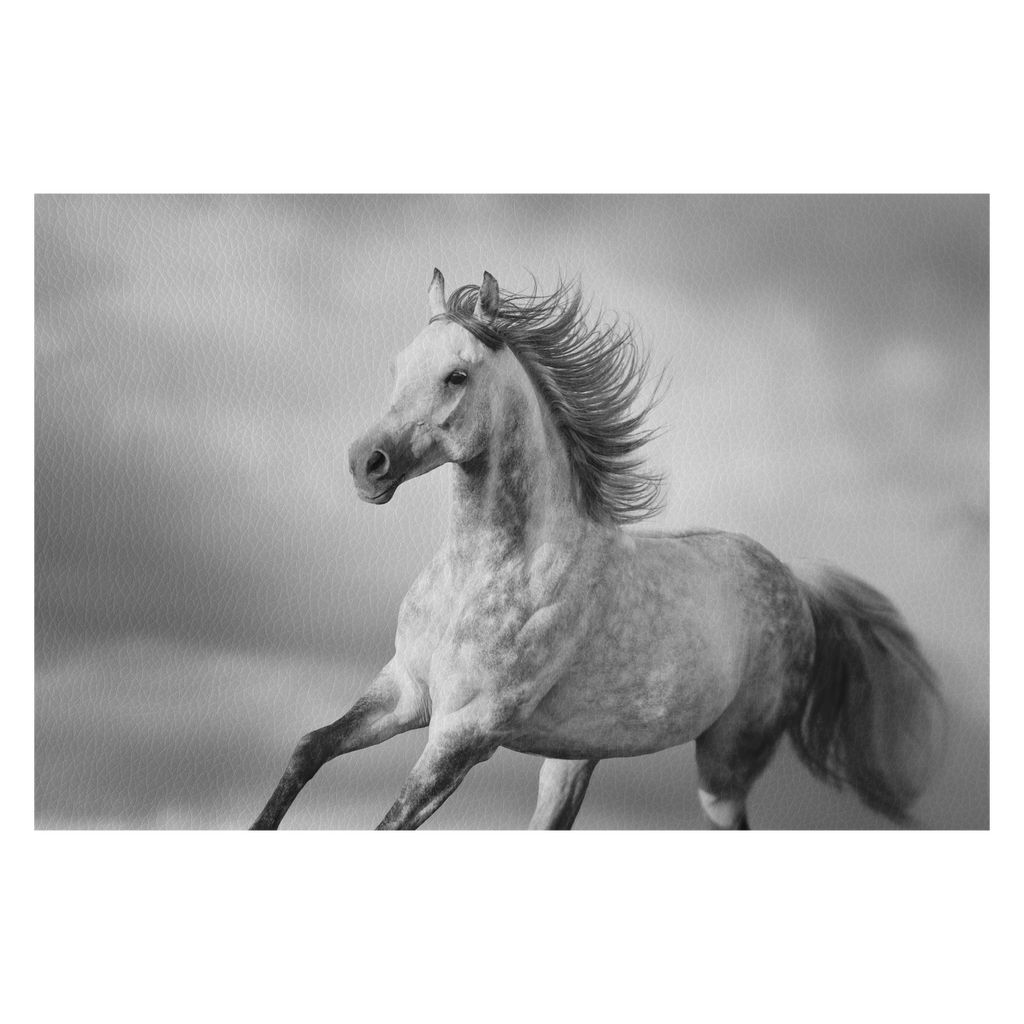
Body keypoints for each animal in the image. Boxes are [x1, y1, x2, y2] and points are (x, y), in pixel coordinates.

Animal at [249, 270, 942, 831]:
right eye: (396, 367)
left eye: (457, 375)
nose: (365, 464)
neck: (485, 577)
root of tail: (794, 583)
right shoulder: (404, 691)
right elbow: (308, 749)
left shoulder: (463, 733)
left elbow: (388, 822)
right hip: (570, 762)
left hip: (725, 764)